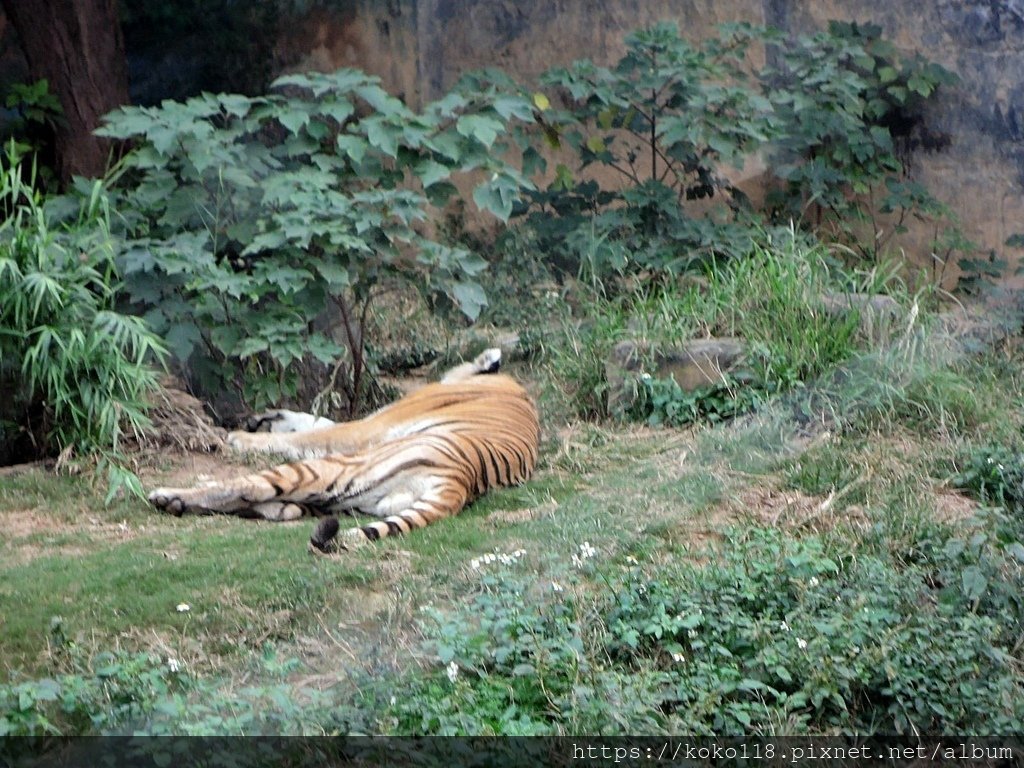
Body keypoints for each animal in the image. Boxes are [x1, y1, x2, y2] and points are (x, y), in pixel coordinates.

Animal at [149, 352, 544, 557]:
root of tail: (461, 481)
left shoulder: (369, 427)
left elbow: (320, 431)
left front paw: (239, 437)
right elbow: (315, 421)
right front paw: (269, 418)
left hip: (334, 470)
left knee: (247, 487)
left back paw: (169, 497)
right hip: (354, 495)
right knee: (283, 504)